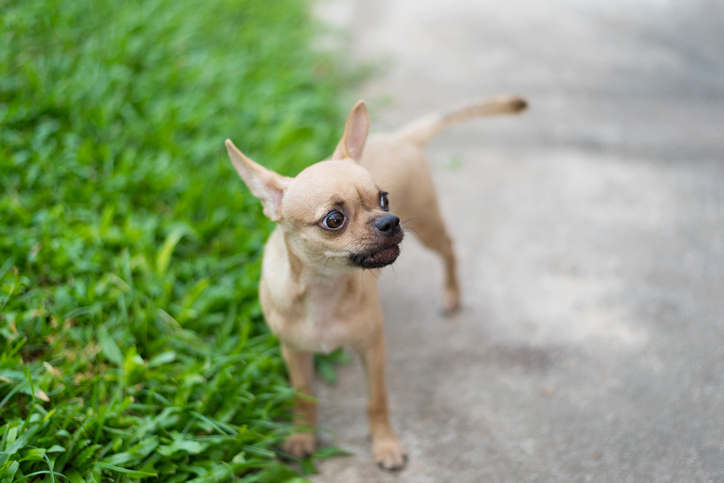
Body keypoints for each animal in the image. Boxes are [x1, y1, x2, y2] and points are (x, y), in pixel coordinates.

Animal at [226, 95, 528, 472]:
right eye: (334, 220)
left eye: (384, 198)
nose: (390, 221)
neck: (325, 290)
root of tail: (401, 138)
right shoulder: (294, 353)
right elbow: (305, 397)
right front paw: (302, 436)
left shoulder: (373, 351)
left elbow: (376, 401)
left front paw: (385, 444)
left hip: (428, 228)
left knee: (449, 249)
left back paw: (451, 294)